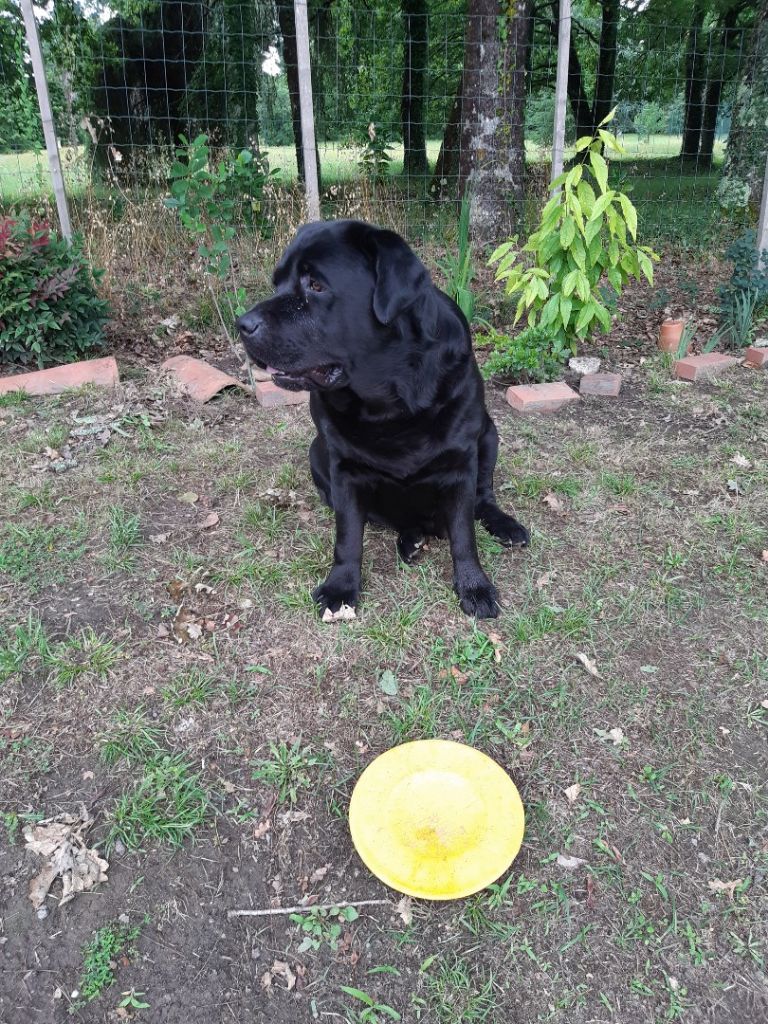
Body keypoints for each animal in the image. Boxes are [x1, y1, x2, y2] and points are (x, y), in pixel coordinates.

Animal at [240, 220, 528, 614]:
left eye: (316, 285)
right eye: (277, 284)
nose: (242, 324)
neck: (389, 399)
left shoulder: (460, 463)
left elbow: (464, 535)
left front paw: (474, 586)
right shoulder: (344, 469)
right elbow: (347, 537)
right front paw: (340, 586)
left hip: (489, 435)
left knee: (483, 498)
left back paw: (503, 526)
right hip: (317, 453)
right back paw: (411, 540)